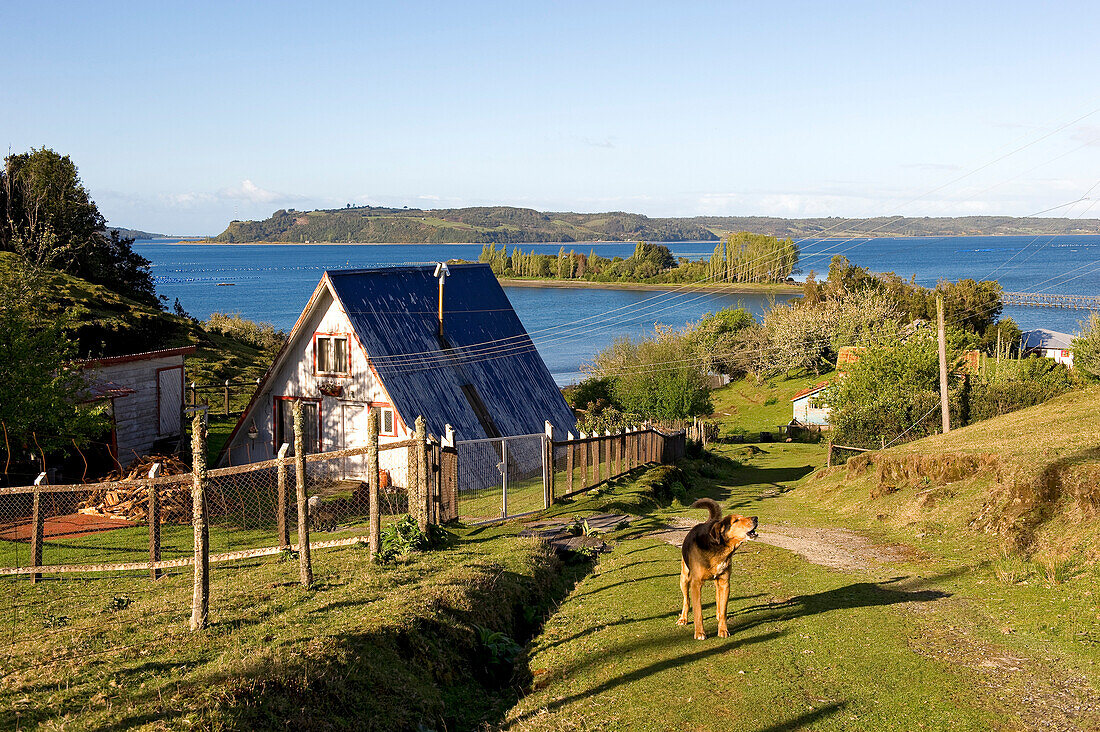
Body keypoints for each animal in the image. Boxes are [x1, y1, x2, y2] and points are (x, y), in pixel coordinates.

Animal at [677, 497, 756, 638]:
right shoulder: (696, 584)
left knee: (718, 599)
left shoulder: (725, 583)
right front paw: (700, 633)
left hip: (717, 582)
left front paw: (723, 630)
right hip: (684, 578)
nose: (756, 518)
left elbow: (723, 608)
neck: (719, 548)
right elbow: (698, 612)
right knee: (686, 600)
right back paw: (683, 618)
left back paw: (718, 615)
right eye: (736, 520)